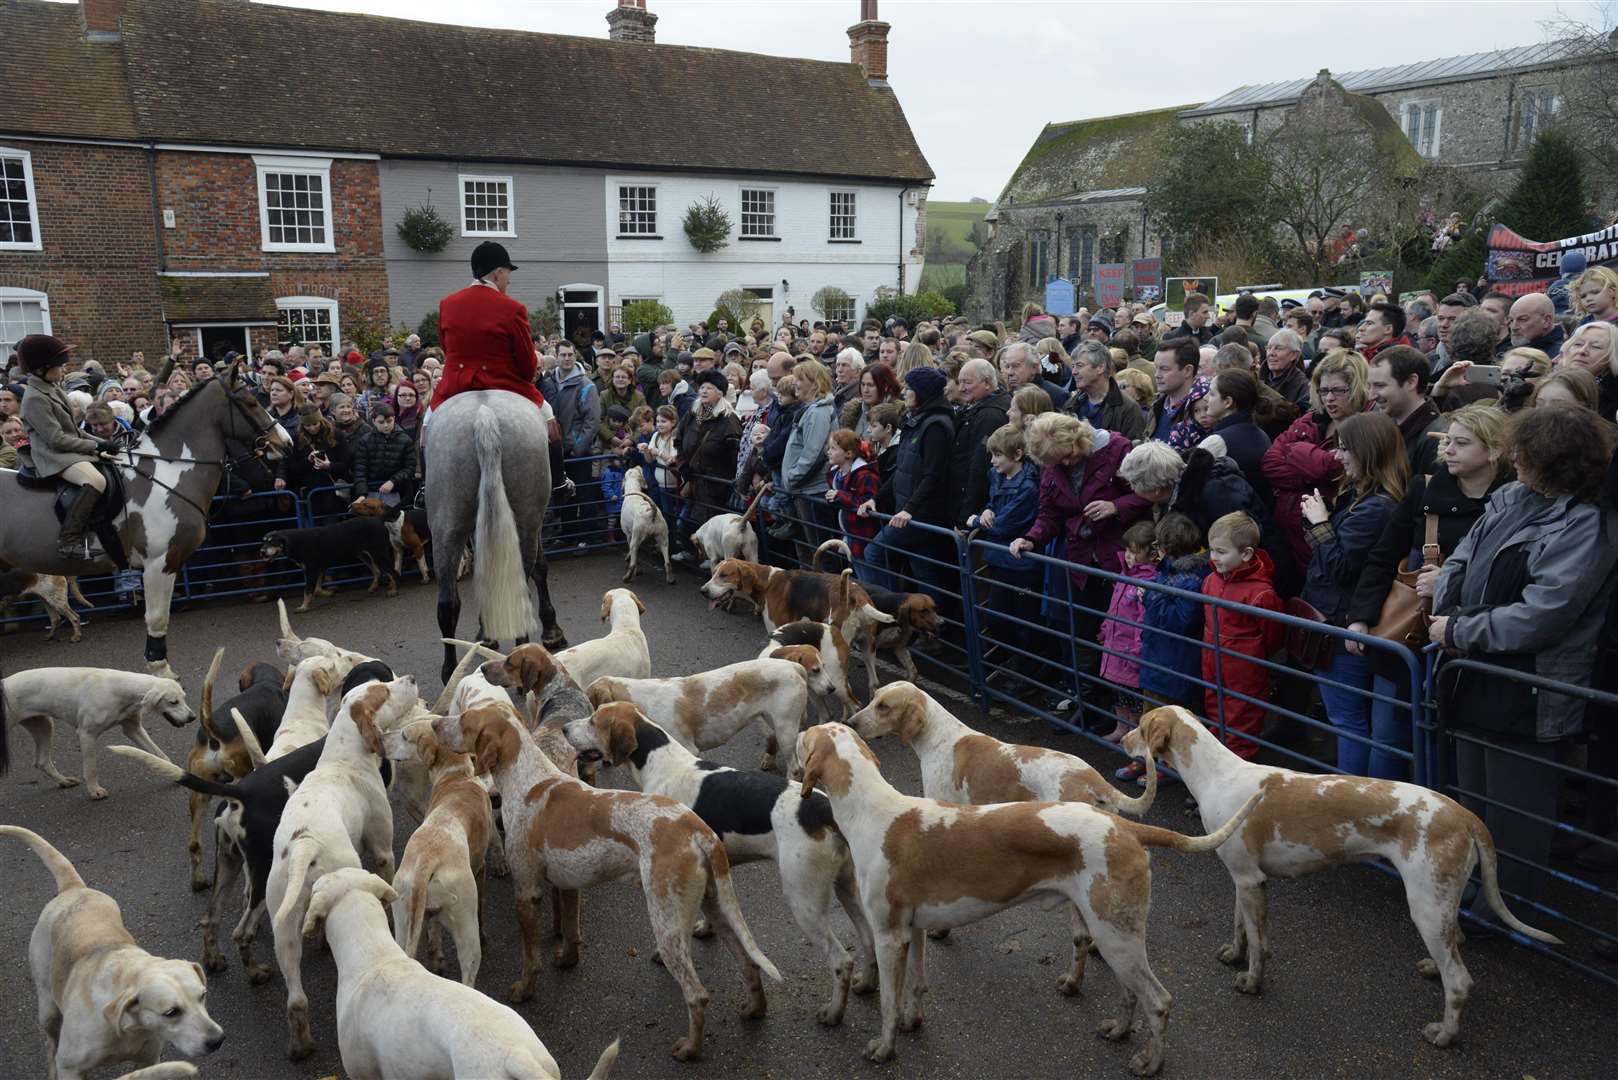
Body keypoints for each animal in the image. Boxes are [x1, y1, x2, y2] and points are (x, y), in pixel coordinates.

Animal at [0, 367, 288, 680]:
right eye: (251, 403)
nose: (285, 442)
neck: (166, 470)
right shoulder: (161, 561)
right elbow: (158, 618)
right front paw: (160, 669)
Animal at [423, 390, 563, 683]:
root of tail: (484, 415)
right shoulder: (535, 524)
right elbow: (541, 569)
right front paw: (551, 630)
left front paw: (486, 634)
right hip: (525, 523)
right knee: (522, 586)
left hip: (446, 526)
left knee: (447, 603)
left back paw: (450, 672)